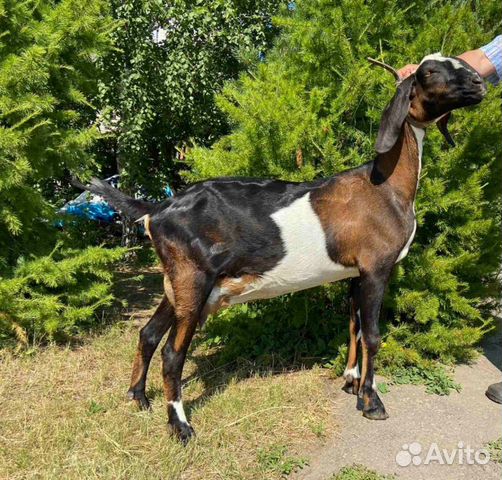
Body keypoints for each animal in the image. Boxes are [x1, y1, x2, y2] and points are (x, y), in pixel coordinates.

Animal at [74, 55, 486, 442]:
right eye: (429, 72)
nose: (480, 83)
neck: (383, 187)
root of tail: (158, 209)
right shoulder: (376, 267)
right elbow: (372, 334)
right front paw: (371, 402)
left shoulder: (355, 271)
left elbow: (352, 325)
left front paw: (351, 381)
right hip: (193, 280)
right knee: (172, 354)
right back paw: (181, 426)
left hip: (175, 282)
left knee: (147, 333)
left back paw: (138, 397)